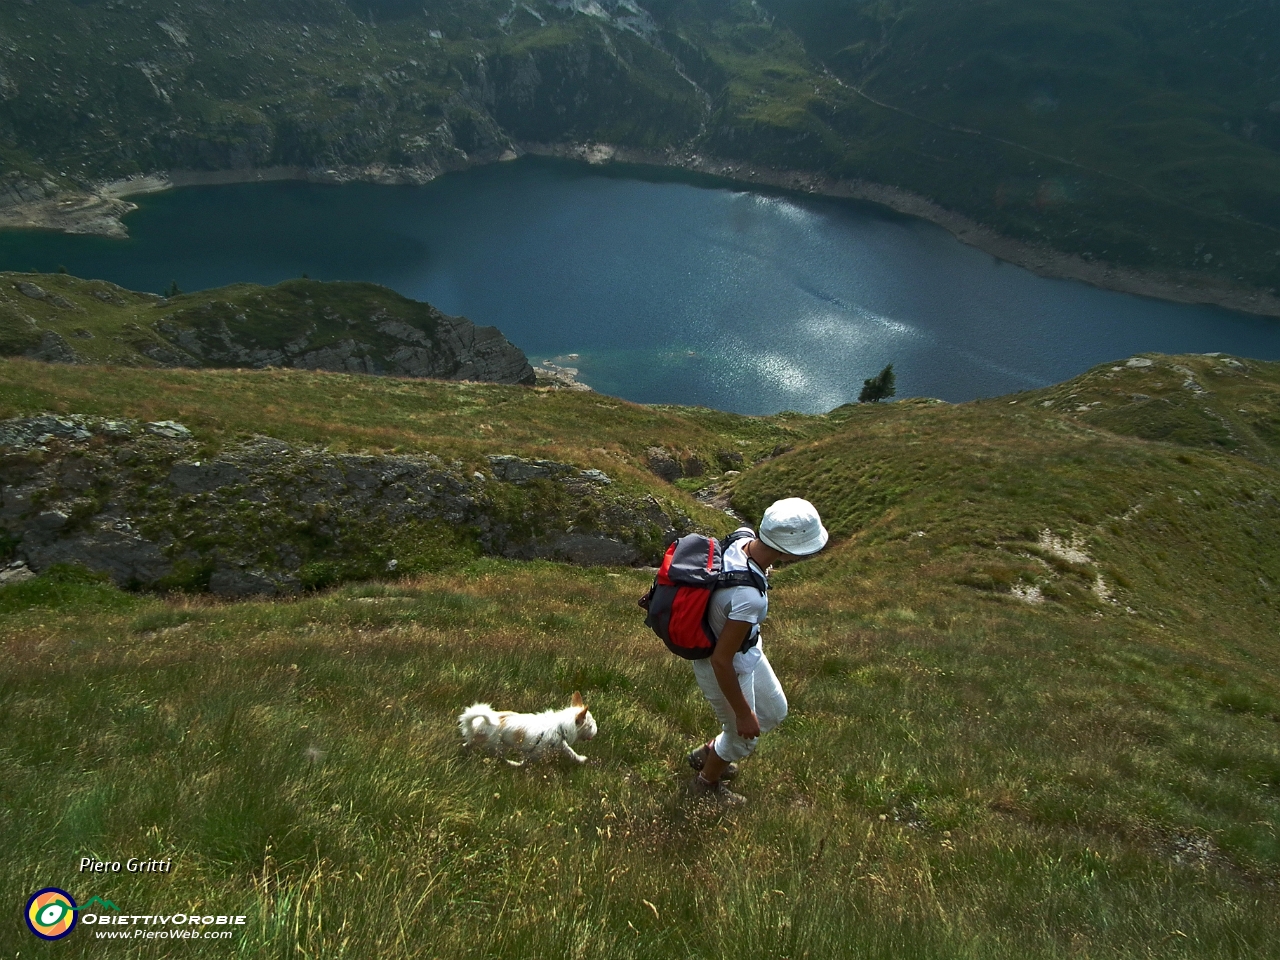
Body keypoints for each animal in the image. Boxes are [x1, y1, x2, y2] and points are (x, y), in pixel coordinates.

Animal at [460, 691, 599, 768]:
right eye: (591, 726)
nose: (596, 730)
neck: (560, 726)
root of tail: (478, 725)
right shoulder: (535, 751)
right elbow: (526, 762)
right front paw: (519, 765)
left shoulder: (560, 745)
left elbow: (570, 751)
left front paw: (580, 759)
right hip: (497, 746)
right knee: (499, 757)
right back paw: (510, 763)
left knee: (466, 745)